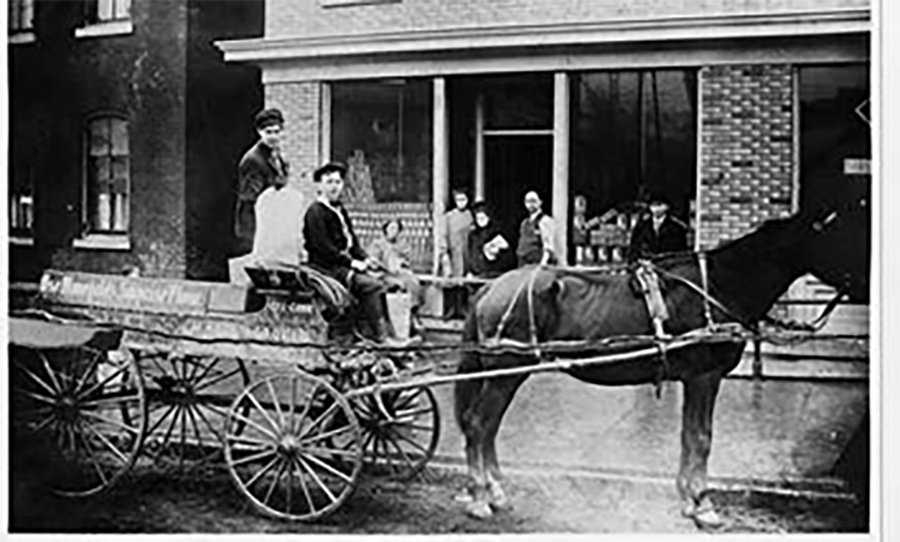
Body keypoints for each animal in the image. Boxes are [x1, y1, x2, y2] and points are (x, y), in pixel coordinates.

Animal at [453, 198, 870, 528]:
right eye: (842, 237)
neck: (718, 285)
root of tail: (491, 288)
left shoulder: (693, 379)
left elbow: (689, 436)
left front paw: (689, 499)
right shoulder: (705, 377)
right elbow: (702, 438)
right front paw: (703, 504)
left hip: (506, 374)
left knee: (487, 429)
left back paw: (496, 491)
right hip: (506, 373)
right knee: (479, 424)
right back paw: (480, 496)